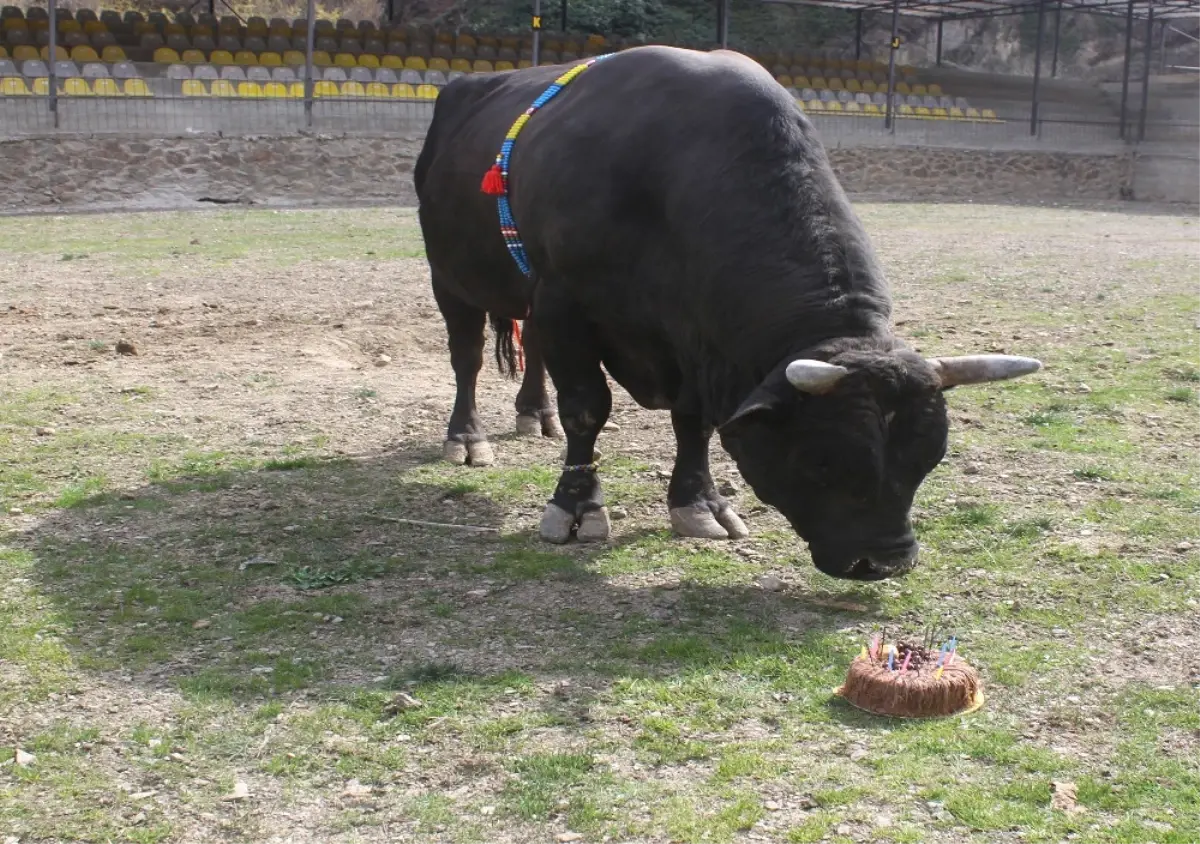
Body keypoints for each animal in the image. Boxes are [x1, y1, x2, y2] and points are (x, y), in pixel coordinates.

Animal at [415, 44, 1041, 581]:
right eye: (823, 461)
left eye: (930, 460)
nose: (885, 563)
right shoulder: (564, 301)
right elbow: (588, 409)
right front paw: (575, 507)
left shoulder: (694, 342)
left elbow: (693, 422)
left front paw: (699, 502)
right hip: (450, 278)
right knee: (467, 359)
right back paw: (466, 437)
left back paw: (534, 413)